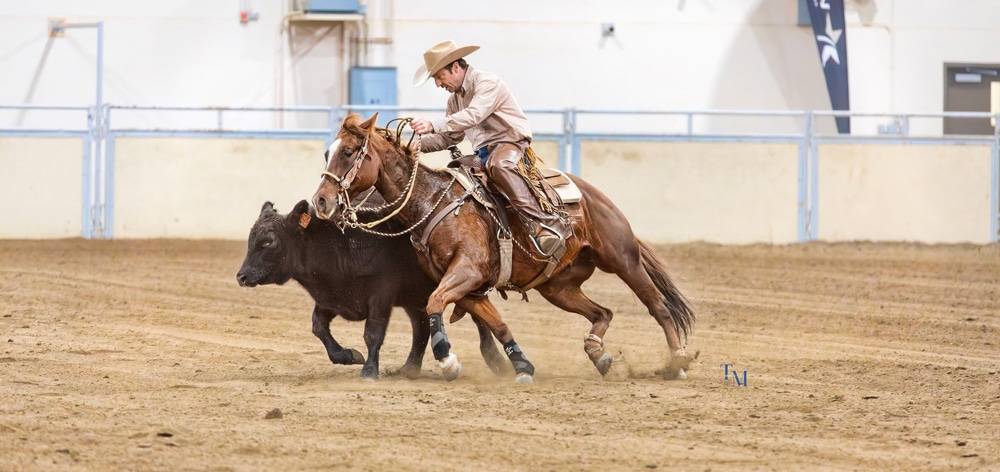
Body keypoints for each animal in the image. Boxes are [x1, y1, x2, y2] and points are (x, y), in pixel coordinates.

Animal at [236, 199, 510, 380]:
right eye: (250, 239)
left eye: (268, 242)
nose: (241, 276)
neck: (343, 244)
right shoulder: (333, 297)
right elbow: (318, 326)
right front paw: (348, 356)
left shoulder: (381, 295)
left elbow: (373, 333)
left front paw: (369, 370)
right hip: (415, 298)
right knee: (421, 326)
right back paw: (409, 368)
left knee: (480, 320)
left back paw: (496, 361)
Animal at [311, 113, 696, 381]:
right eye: (327, 152)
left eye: (348, 151)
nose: (321, 201)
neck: (433, 202)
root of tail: (593, 195)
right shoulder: (469, 287)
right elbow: (497, 325)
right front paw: (521, 365)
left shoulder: (466, 271)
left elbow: (435, 303)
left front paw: (448, 359)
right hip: (558, 287)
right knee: (603, 313)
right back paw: (599, 355)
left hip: (623, 260)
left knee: (658, 307)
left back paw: (677, 361)